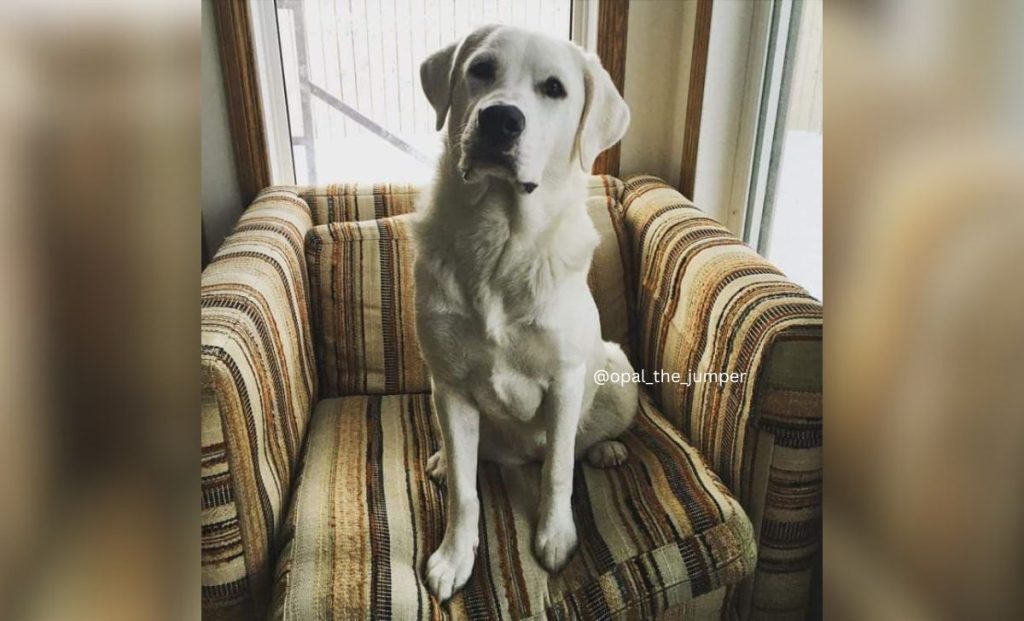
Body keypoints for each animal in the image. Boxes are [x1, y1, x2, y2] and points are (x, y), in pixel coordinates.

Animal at [411, 25, 634, 602]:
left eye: (554, 88)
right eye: (481, 70)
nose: (500, 120)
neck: (499, 237)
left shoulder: (564, 379)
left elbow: (557, 469)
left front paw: (555, 537)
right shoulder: (450, 385)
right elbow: (465, 491)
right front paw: (454, 557)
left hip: (618, 372)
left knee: (578, 445)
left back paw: (606, 451)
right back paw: (441, 460)